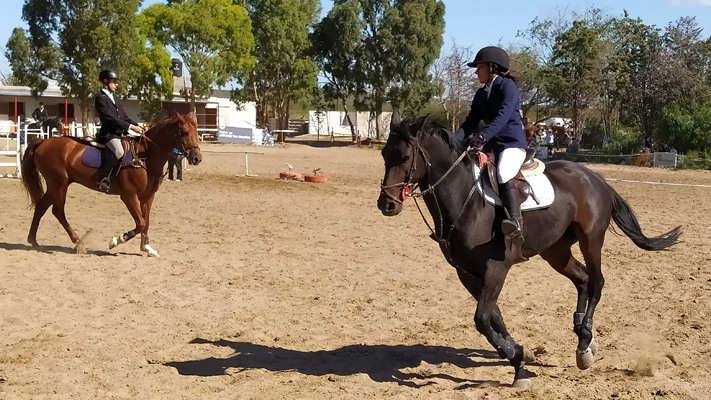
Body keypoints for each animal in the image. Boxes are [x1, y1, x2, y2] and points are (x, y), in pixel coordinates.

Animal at [20, 112, 203, 256]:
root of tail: (43, 142)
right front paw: (117, 240)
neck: (145, 156)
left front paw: (147, 248)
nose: (197, 158)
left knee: (41, 207)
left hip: (54, 185)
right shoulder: (129, 196)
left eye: (196, 132)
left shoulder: (147, 197)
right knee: (58, 211)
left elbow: (146, 222)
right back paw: (79, 242)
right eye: (184, 133)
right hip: (59, 184)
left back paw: (33, 241)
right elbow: (140, 223)